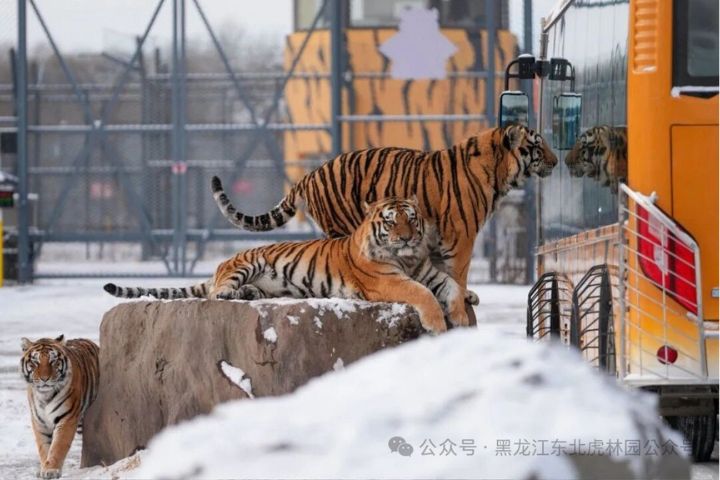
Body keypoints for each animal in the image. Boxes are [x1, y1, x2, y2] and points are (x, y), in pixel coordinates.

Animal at [20, 335, 99, 479]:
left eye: (53, 361)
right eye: (35, 362)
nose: (44, 379)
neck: (45, 396)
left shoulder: (67, 418)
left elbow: (58, 446)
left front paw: (51, 470)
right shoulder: (39, 421)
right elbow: (44, 447)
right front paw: (44, 468)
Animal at [104, 197, 467, 334]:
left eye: (411, 218)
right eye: (391, 221)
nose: (406, 237)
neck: (408, 257)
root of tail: (219, 266)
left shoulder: (430, 273)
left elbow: (453, 287)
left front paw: (462, 318)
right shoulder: (388, 281)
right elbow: (423, 294)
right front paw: (438, 324)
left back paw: (246, 296)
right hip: (247, 263)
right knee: (216, 292)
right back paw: (227, 295)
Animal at [211, 124, 558, 296]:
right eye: (537, 145)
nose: (556, 162)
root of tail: (307, 176)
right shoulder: (461, 237)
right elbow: (458, 273)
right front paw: (468, 295)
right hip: (344, 225)